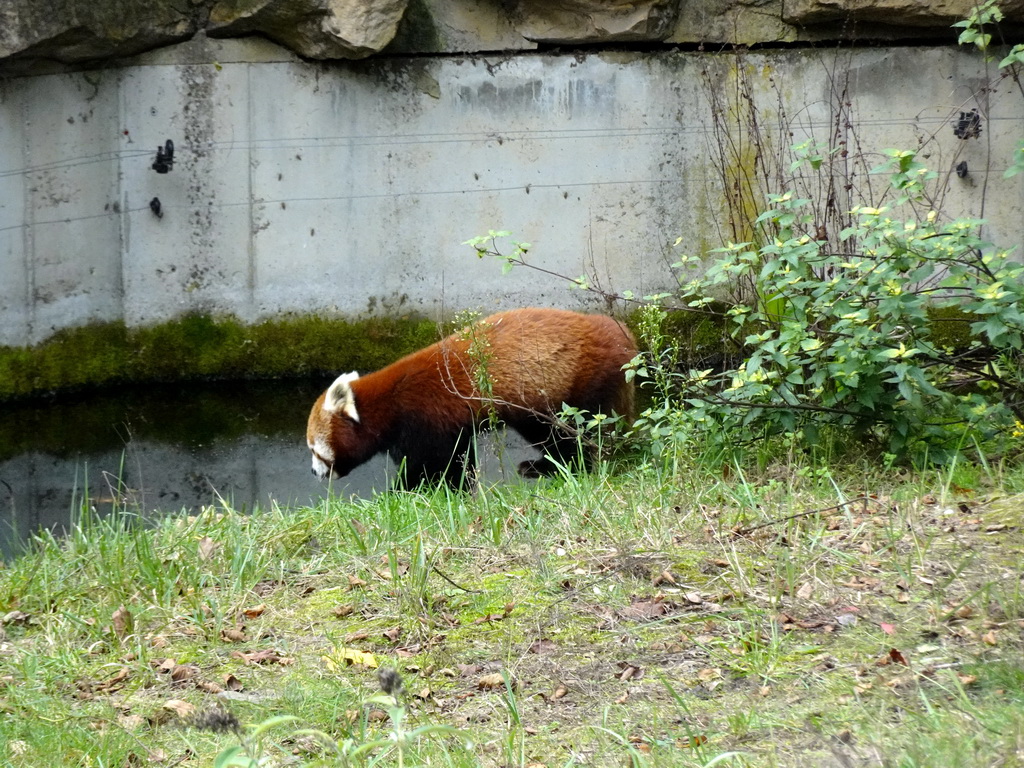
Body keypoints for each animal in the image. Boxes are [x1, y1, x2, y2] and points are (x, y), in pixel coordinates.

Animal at [307, 305, 634, 487]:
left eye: (315, 450)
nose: (312, 472)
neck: (389, 404)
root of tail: (619, 332)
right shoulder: (451, 426)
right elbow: (458, 459)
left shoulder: (425, 421)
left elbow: (432, 465)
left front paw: (411, 490)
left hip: (575, 387)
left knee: (568, 433)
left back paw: (556, 466)